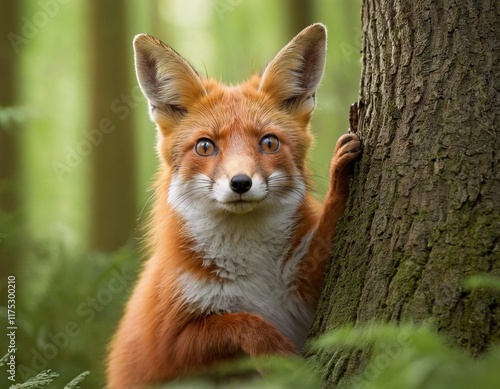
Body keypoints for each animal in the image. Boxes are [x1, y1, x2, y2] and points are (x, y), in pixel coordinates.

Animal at [107, 22, 362, 386]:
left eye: (269, 143)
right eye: (205, 146)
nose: (240, 183)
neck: (253, 273)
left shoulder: (305, 282)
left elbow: (330, 226)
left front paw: (340, 177)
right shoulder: (172, 345)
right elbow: (243, 323)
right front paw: (282, 359)